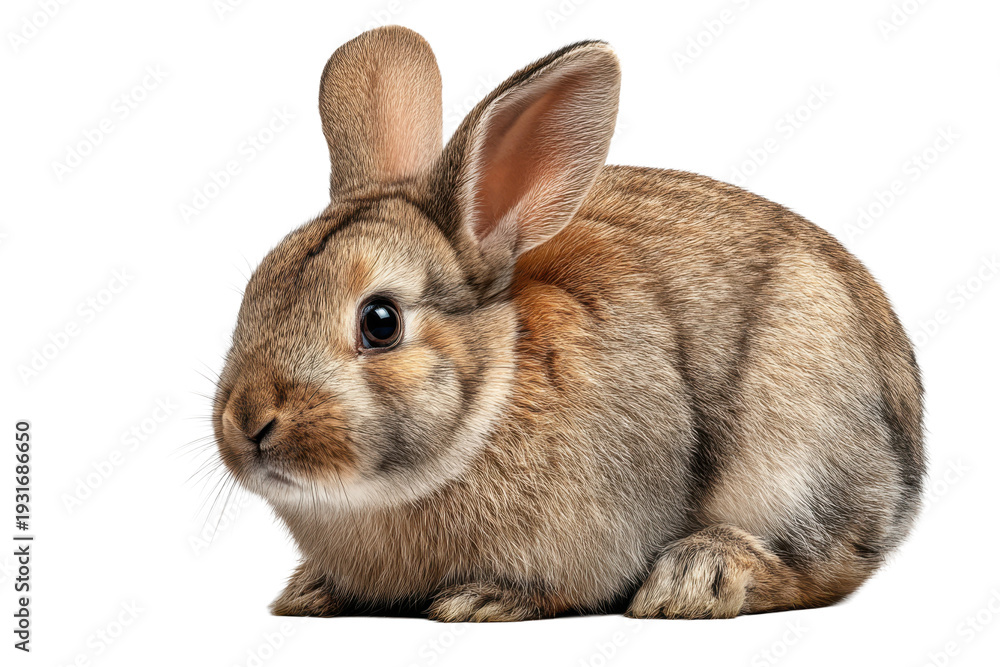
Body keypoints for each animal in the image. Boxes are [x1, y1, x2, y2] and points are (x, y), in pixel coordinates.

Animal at [212, 25, 924, 621]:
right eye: (253, 295)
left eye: (380, 322)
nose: (248, 422)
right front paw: (312, 593)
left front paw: (483, 600)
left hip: (797, 452)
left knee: (826, 566)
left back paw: (696, 582)